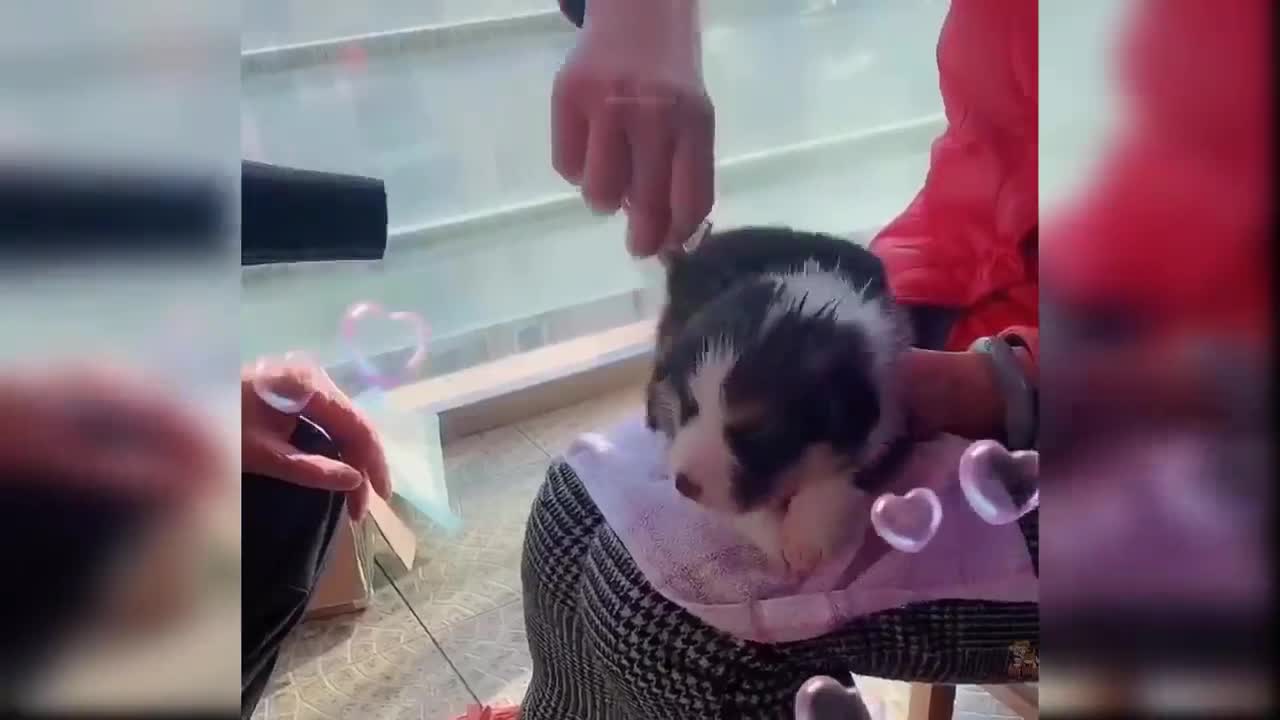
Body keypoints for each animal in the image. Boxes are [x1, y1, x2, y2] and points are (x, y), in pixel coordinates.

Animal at [650, 226, 911, 573]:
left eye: (757, 434)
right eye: (690, 408)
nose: (684, 485)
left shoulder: (887, 415)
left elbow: (843, 473)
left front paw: (804, 539)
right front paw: (776, 539)